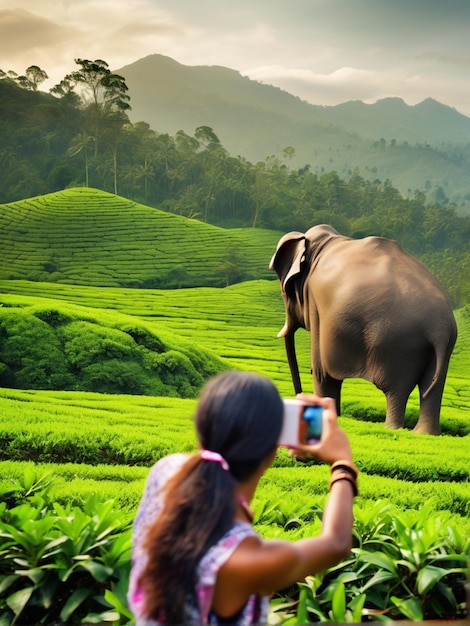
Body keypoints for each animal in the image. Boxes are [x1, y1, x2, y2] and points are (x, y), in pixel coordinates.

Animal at [270, 224, 458, 434]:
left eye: (285, 290)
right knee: (432, 388)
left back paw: (392, 429)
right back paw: (424, 434)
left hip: (399, 344)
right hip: (442, 347)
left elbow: (320, 370)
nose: (299, 400)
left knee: (397, 390)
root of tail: (440, 326)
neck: (325, 240)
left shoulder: (315, 302)